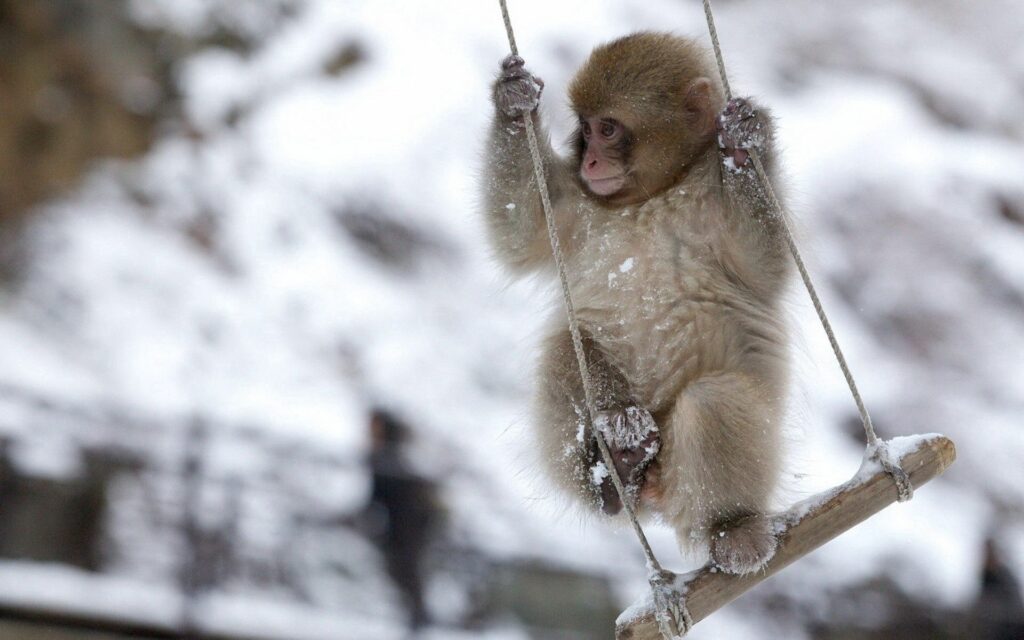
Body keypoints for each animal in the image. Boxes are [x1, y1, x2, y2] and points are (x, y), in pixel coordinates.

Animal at [482, 32, 791, 576]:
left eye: (608, 129)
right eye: (585, 130)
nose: (590, 161)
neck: (655, 194)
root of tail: (658, 495)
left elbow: (765, 269)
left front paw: (741, 143)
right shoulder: (580, 207)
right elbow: (520, 230)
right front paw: (514, 102)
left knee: (713, 401)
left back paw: (732, 527)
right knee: (568, 348)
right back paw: (616, 469)